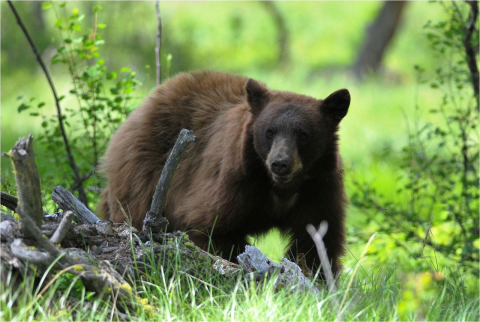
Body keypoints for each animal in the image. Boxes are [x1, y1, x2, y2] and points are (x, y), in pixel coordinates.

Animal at [99, 70, 350, 274]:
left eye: (303, 134)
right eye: (269, 131)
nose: (280, 163)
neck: (281, 188)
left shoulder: (319, 188)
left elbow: (316, 241)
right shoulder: (235, 181)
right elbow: (210, 224)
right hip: (142, 172)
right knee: (133, 209)